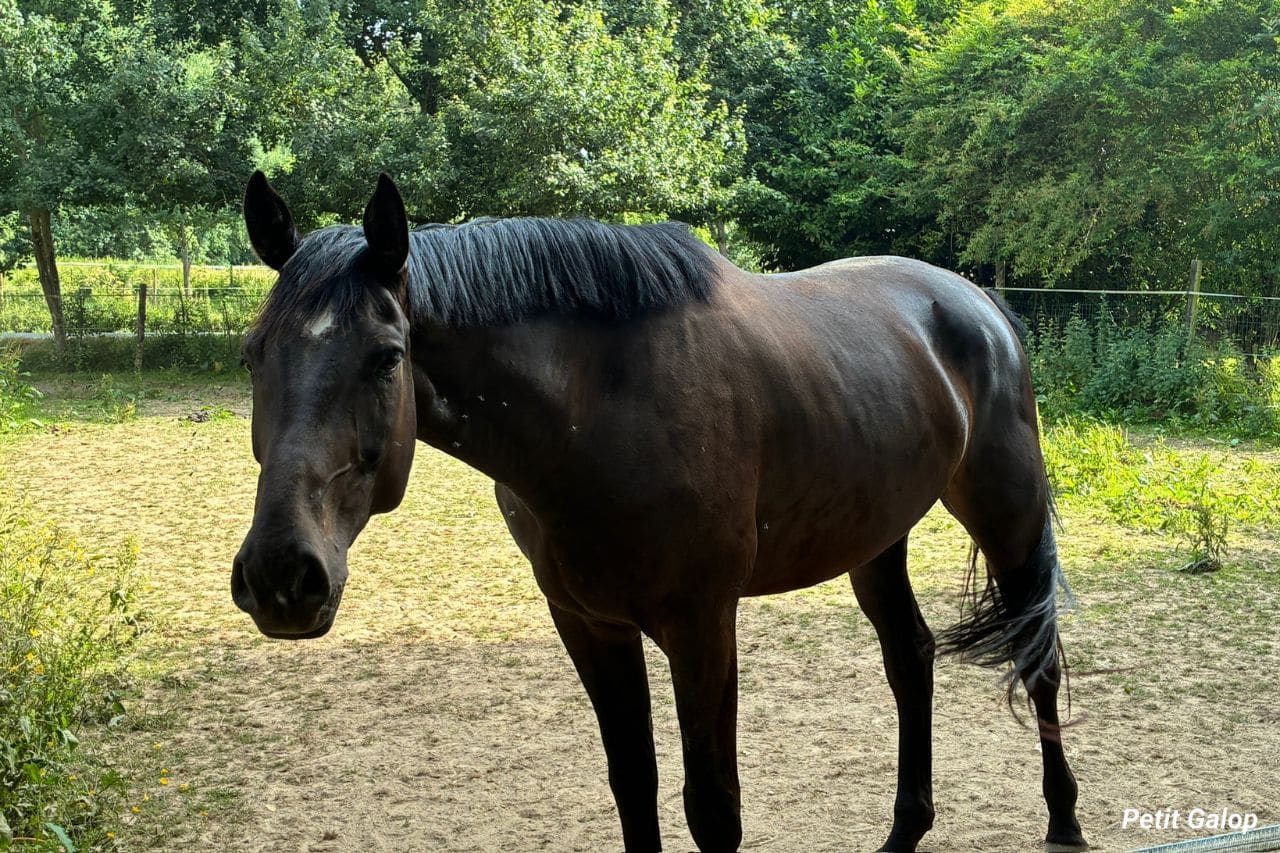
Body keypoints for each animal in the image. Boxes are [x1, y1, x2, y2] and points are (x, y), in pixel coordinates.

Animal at [231, 171, 1087, 853]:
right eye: (254, 352)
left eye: (387, 355)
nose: (282, 577)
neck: (598, 407)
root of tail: (978, 301)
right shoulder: (589, 622)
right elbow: (632, 785)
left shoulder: (701, 623)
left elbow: (712, 806)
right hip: (875, 538)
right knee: (910, 658)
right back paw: (905, 830)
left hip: (1006, 516)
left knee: (1037, 657)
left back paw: (1065, 820)